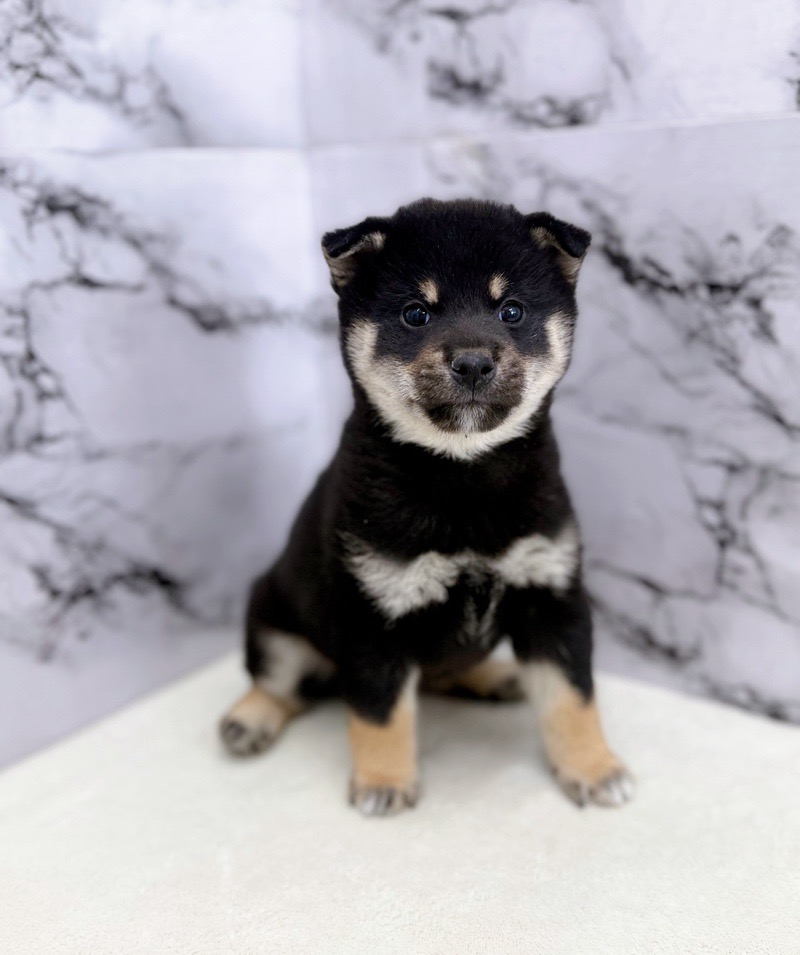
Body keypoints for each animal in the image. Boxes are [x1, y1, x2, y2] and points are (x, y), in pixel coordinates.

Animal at [219, 198, 634, 816]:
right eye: (416, 314)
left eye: (511, 310)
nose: (473, 362)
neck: (461, 474)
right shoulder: (375, 614)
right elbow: (380, 711)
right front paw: (383, 782)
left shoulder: (552, 598)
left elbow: (572, 700)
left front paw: (593, 767)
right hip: (275, 623)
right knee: (282, 683)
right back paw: (249, 719)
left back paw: (493, 677)